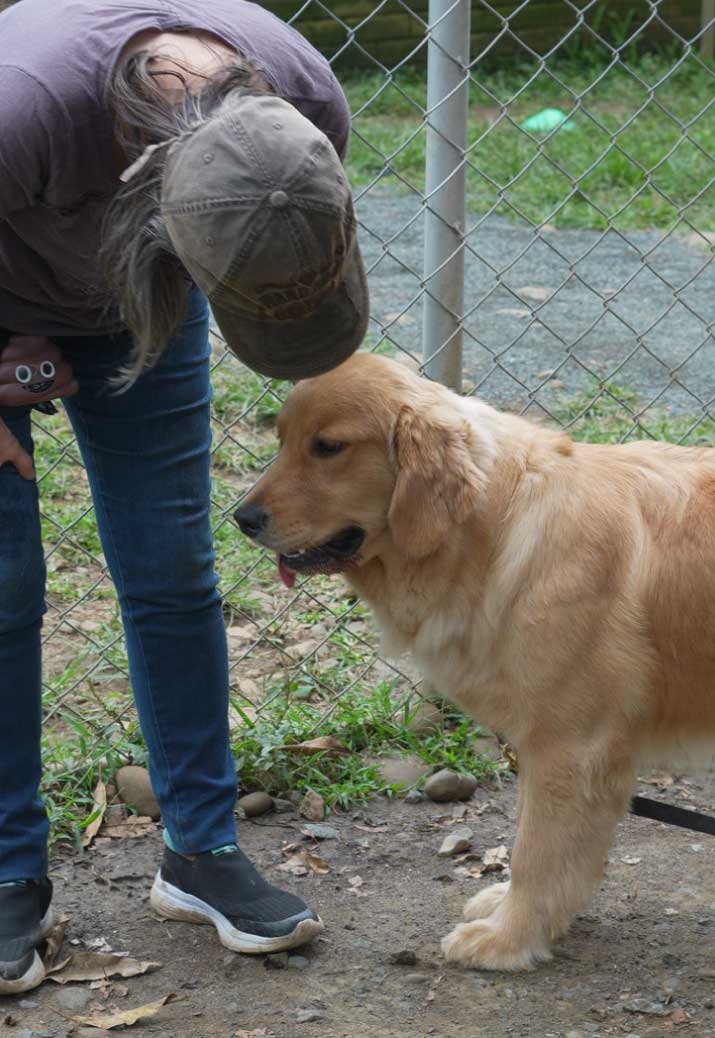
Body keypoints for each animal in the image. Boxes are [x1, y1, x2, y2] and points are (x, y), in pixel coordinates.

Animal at [234, 352, 715, 971]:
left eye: (327, 447)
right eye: (282, 439)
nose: (241, 518)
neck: (496, 529)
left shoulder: (569, 745)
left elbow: (537, 849)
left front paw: (509, 939)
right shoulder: (546, 745)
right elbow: (533, 838)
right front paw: (516, 911)